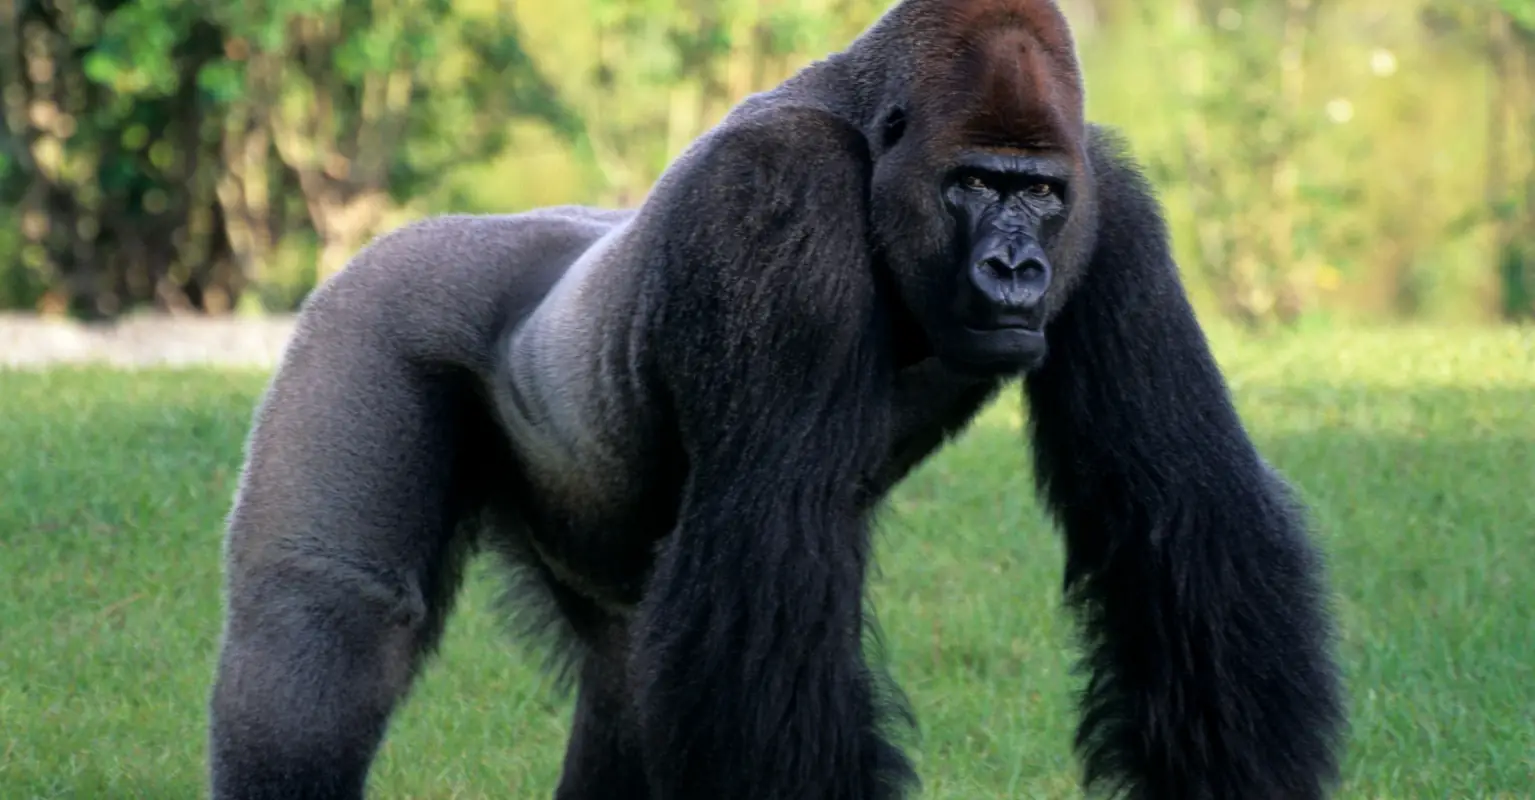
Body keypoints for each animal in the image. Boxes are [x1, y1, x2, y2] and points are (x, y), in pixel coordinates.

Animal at [207, 1, 1347, 798]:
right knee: (329, 623)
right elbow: (774, 544)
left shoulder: (1110, 206)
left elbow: (1174, 507)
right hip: (369, 313)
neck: (865, 129)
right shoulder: (779, 198)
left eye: (1039, 192)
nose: (1017, 268)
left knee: (624, 683)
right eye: (975, 184)